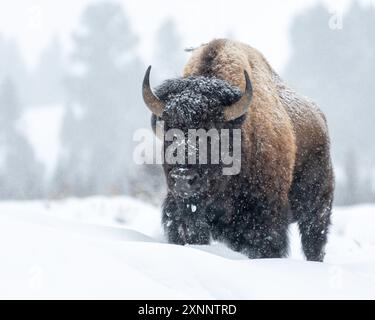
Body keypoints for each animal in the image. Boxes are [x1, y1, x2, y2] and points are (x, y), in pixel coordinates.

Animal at [142, 38, 334, 262]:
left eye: (214, 131)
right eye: (169, 131)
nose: (183, 178)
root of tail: (320, 118)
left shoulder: (264, 221)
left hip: (317, 208)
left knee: (314, 241)